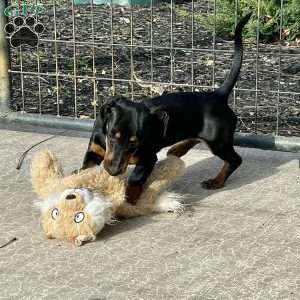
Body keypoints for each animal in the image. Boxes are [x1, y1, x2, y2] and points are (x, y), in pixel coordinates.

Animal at [81, 11, 252, 204]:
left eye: (134, 142)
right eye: (111, 135)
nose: (113, 171)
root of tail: (218, 95)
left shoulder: (148, 158)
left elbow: (135, 180)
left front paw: (128, 202)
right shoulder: (95, 150)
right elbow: (85, 170)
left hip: (218, 142)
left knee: (235, 160)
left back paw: (216, 181)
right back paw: (177, 149)